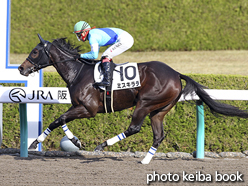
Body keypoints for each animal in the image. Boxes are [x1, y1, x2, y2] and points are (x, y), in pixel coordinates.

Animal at [18, 33, 248, 164]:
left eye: (35, 51)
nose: (21, 68)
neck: (79, 72)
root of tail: (176, 73)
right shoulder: (76, 105)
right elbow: (61, 120)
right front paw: (74, 140)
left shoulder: (88, 109)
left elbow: (57, 120)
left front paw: (35, 141)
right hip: (160, 109)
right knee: (158, 135)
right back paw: (145, 160)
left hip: (145, 103)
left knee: (135, 128)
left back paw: (103, 145)